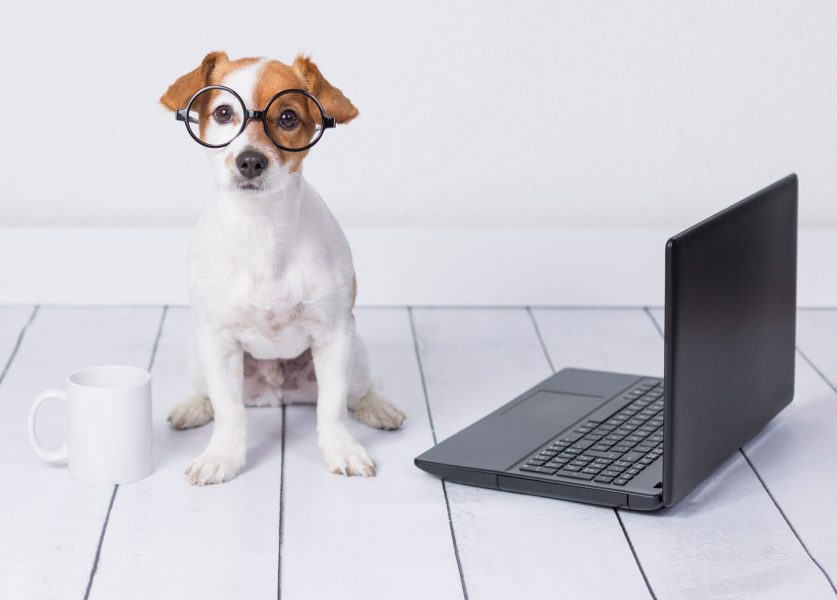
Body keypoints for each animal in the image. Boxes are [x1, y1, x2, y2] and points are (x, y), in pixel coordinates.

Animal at [159, 50, 404, 482]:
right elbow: (229, 410)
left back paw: (377, 406)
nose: (250, 162)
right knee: (208, 394)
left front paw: (342, 449)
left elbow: (332, 408)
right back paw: (194, 406)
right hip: (198, 355)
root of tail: (277, 393)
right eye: (223, 112)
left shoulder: (336, 337)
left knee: (358, 392)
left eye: (287, 117)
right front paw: (222, 455)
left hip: (357, 353)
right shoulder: (218, 343)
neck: (262, 230)